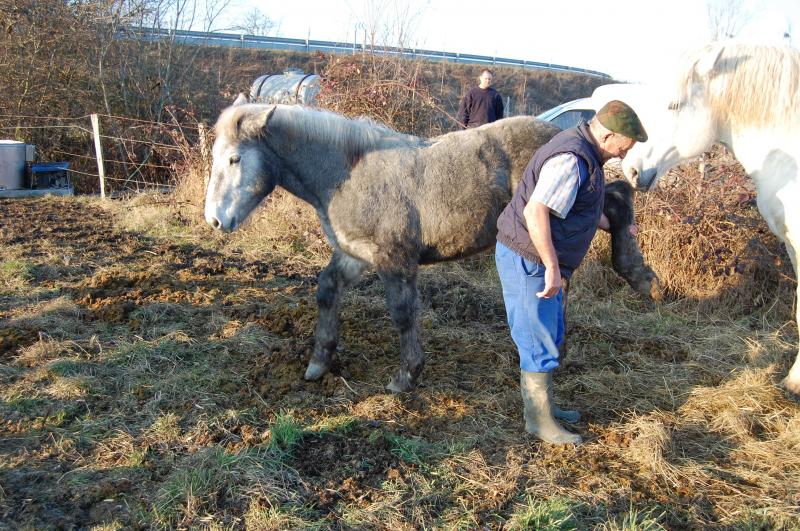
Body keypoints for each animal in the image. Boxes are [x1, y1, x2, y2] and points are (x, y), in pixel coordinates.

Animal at [205, 98, 656, 390]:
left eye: (234, 159)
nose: (214, 220)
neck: (347, 174)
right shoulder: (355, 255)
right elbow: (327, 290)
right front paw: (319, 362)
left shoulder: (395, 259)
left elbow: (403, 314)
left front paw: (406, 376)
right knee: (616, 200)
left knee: (613, 202)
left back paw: (637, 276)